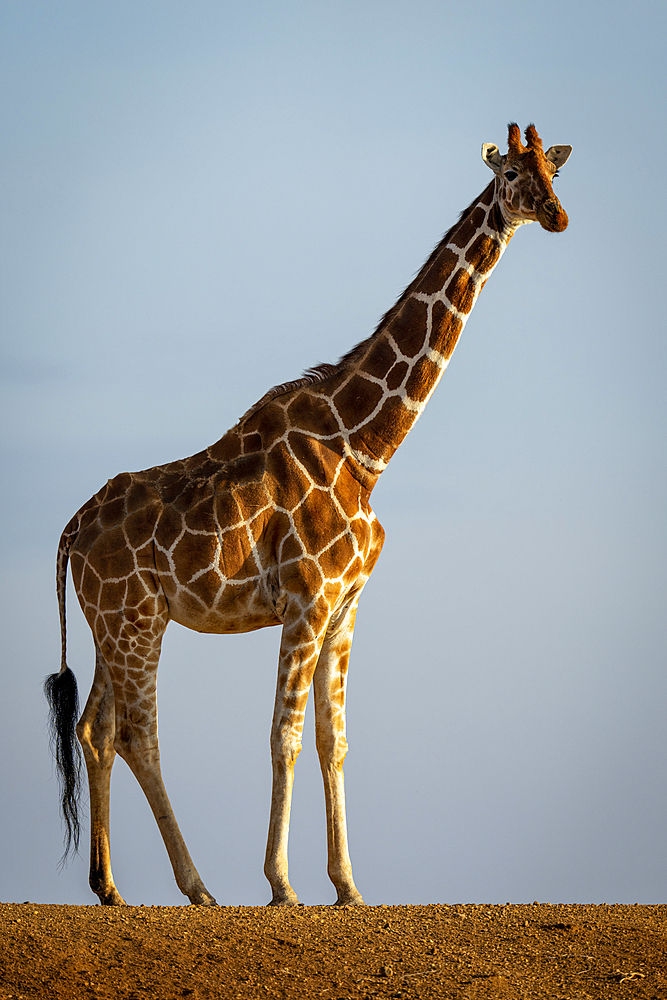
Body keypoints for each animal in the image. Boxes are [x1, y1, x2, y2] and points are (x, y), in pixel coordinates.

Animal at [44, 123, 572, 908]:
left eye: (551, 171)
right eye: (510, 172)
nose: (557, 215)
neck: (366, 445)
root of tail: (70, 531)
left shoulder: (346, 604)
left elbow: (334, 740)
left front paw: (348, 885)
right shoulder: (306, 599)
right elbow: (284, 735)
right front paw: (281, 883)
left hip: (116, 620)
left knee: (94, 729)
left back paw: (110, 888)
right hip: (132, 619)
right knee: (137, 731)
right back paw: (198, 887)